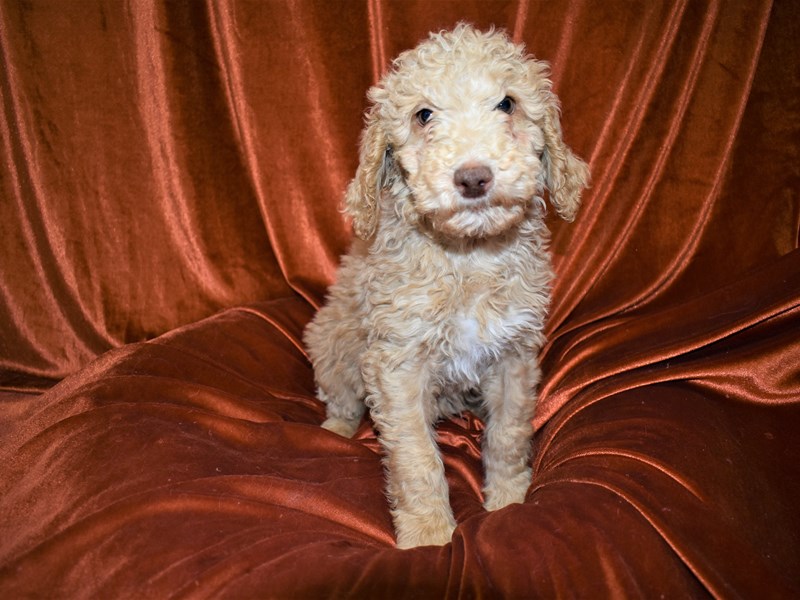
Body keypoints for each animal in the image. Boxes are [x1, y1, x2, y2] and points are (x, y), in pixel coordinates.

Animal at [304, 23, 588, 548]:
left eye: (507, 104)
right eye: (423, 115)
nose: (473, 177)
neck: (468, 257)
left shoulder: (514, 355)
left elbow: (509, 432)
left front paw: (509, 500)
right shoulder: (397, 364)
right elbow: (415, 456)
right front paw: (429, 534)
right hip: (331, 339)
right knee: (340, 396)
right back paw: (335, 430)